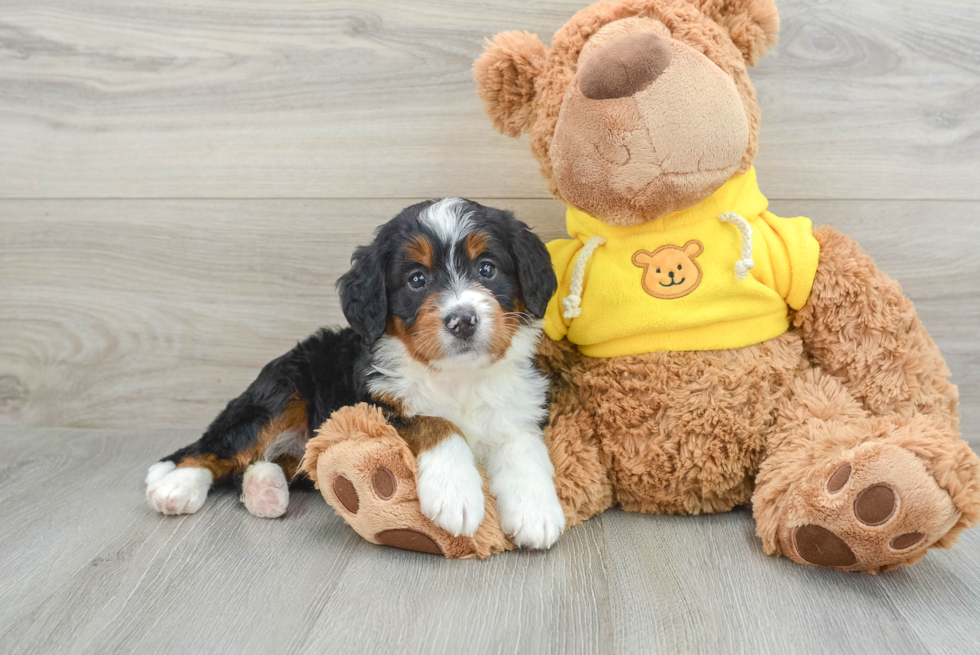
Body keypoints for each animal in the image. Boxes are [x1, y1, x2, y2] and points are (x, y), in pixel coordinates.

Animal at [144, 197, 568, 552]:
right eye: (417, 280)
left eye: (487, 269)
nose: (462, 320)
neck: (458, 378)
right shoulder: (370, 405)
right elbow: (436, 422)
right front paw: (456, 493)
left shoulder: (520, 404)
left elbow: (522, 445)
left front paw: (535, 510)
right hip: (284, 389)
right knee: (220, 447)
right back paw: (177, 485)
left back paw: (265, 490)